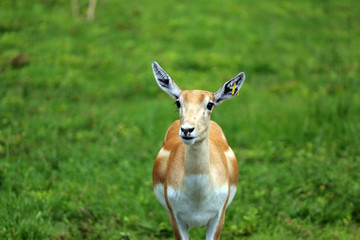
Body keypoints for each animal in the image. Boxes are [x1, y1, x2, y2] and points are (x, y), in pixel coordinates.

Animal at [152, 61, 245, 239]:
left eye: (210, 104)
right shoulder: (175, 217)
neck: (198, 195)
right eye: (178, 102)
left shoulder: (218, 217)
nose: (187, 130)